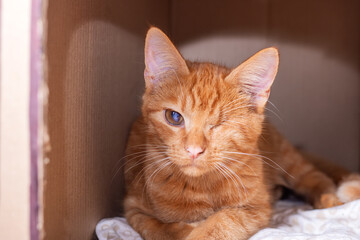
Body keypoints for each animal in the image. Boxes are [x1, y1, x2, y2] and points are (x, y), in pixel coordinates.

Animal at [124, 27, 360, 240]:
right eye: (174, 117)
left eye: (221, 124)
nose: (193, 150)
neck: (200, 188)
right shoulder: (133, 207)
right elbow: (157, 228)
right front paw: (184, 228)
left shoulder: (257, 208)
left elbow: (224, 220)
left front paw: (200, 230)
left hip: (290, 160)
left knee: (315, 176)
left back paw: (329, 199)